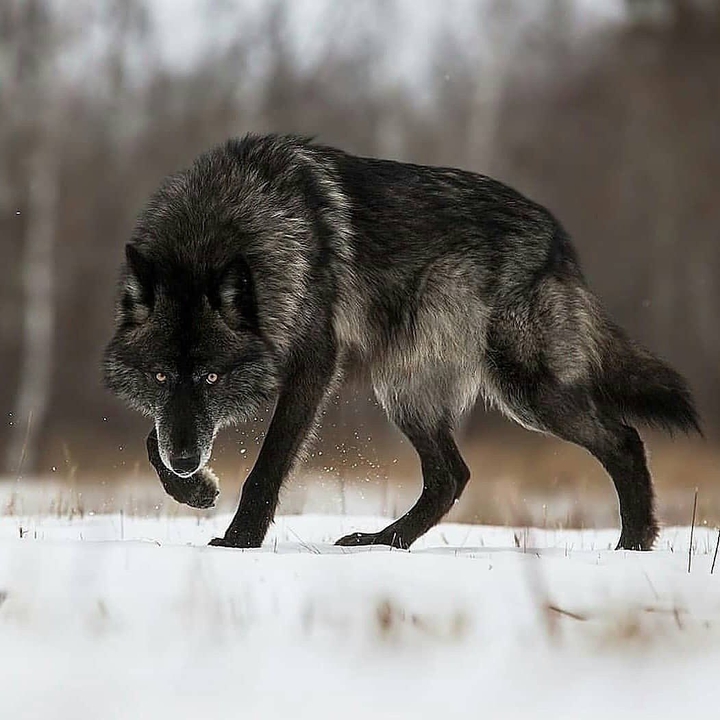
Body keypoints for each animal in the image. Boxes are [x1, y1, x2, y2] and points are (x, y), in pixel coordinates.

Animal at [103, 133, 700, 551]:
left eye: (211, 376)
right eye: (161, 375)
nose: (188, 461)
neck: (219, 229)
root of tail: (560, 240)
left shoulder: (314, 366)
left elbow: (268, 464)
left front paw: (239, 542)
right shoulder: (179, 414)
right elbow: (152, 440)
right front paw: (194, 489)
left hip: (524, 392)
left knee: (624, 439)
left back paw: (632, 546)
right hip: (407, 391)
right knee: (450, 476)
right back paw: (382, 542)